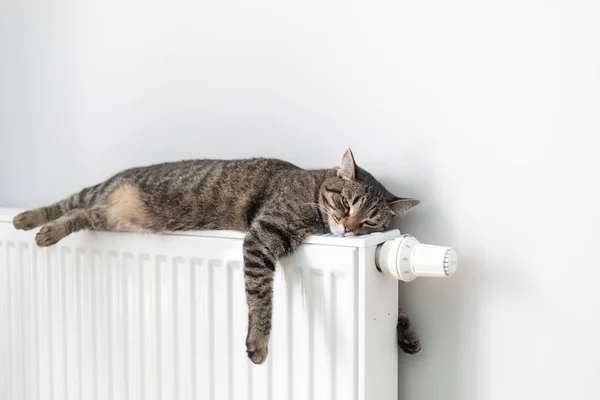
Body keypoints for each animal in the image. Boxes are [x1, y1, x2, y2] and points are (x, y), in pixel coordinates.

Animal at [12, 148, 422, 364]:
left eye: (369, 221)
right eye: (345, 203)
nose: (349, 229)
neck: (313, 190)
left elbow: (399, 311)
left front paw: (404, 329)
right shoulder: (262, 236)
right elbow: (260, 298)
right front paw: (258, 341)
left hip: (112, 218)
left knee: (81, 214)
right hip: (99, 196)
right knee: (65, 205)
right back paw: (31, 221)